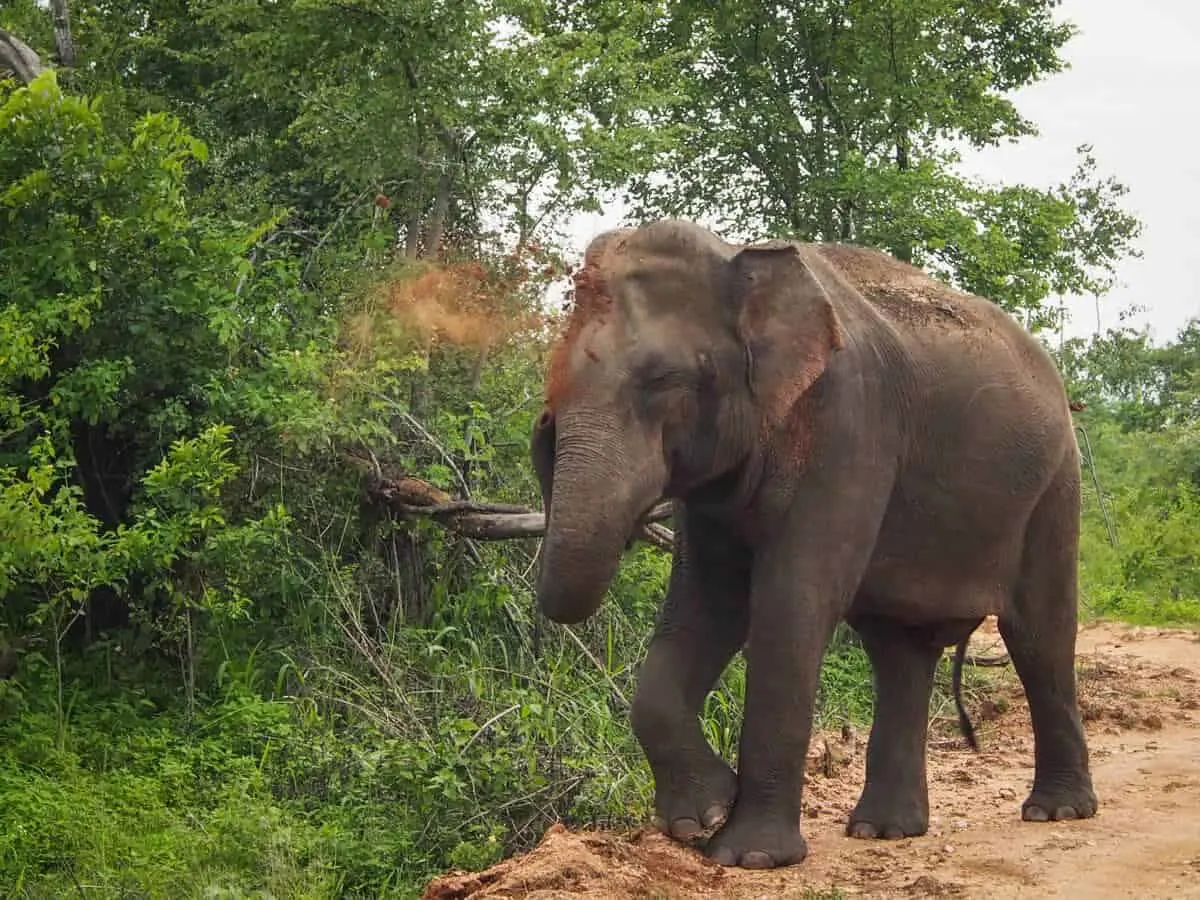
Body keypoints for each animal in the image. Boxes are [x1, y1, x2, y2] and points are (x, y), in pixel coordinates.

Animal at [530, 220, 1099, 873]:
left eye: (666, 381)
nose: (543, 431)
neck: (739, 257)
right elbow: (709, 605)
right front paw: (703, 815)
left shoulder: (850, 425)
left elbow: (790, 604)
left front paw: (747, 855)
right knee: (900, 651)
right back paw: (884, 831)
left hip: (1056, 486)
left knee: (1038, 635)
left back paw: (1056, 812)